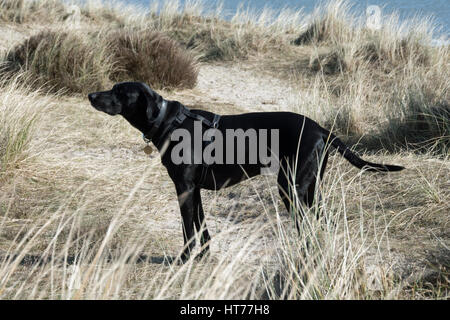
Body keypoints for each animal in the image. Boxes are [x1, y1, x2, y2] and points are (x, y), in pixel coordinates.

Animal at [89, 82, 404, 262]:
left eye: (119, 91)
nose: (91, 94)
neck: (168, 121)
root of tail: (321, 129)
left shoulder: (184, 189)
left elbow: (188, 230)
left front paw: (184, 261)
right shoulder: (194, 190)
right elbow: (202, 228)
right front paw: (204, 258)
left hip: (291, 188)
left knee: (306, 228)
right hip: (310, 189)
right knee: (323, 223)